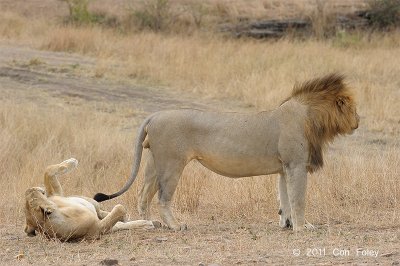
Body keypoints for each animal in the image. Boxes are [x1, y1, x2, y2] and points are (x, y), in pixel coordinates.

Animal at [24, 159, 159, 242]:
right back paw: (148, 223)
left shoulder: (56, 195)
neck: (59, 211)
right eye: (33, 198)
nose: (33, 188)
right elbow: (120, 208)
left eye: (29, 194)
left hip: (82, 200)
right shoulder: (97, 229)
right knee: (117, 221)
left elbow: (48, 170)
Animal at [94, 73, 360, 231]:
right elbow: (299, 198)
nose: (359, 121)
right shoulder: (296, 165)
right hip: (172, 164)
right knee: (162, 197)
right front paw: (302, 228)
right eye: (353, 108)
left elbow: (285, 198)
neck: (311, 118)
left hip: (153, 162)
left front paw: (288, 224)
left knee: (143, 194)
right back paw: (175, 226)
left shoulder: (285, 168)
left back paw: (150, 223)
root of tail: (155, 114)